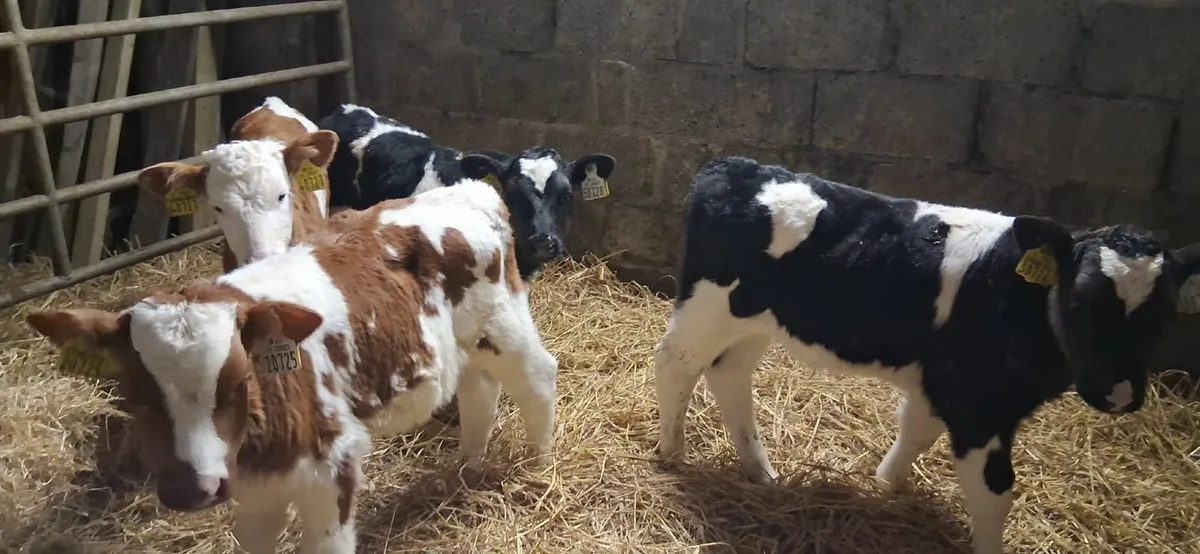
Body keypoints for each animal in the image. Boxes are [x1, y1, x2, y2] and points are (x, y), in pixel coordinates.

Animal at [25, 179, 558, 554]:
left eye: (238, 381)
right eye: (133, 395)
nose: (191, 489)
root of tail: (469, 189)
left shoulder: (333, 468)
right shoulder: (254, 490)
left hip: (502, 323)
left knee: (537, 377)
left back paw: (540, 467)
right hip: (462, 345)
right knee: (477, 390)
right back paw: (467, 466)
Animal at [652, 156, 1200, 554]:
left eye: (1164, 314)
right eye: (1081, 301)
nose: (1119, 394)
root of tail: (733, 167)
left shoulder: (942, 382)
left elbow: (917, 430)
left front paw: (886, 484)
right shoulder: (978, 403)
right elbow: (993, 492)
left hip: (753, 322)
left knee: (729, 374)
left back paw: (760, 471)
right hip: (709, 304)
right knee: (676, 361)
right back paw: (673, 453)